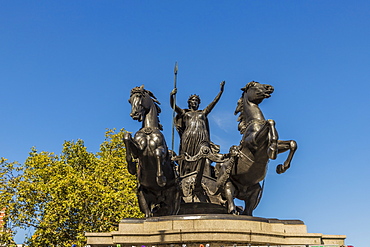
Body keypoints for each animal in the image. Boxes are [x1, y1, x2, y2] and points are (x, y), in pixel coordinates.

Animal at [123, 86, 180, 217]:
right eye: (129, 100)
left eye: (139, 96)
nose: (134, 114)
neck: (148, 130)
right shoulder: (138, 151)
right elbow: (127, 137)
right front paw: (131, 167)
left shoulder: (162, 151)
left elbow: (158, 154)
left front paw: (160, 179)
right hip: (142, 197)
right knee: (148, 213)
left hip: (174, 199)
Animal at [217, 81, 294, 216]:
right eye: (253, 85)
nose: (270, 87)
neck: (255, 122)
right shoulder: (254, 143)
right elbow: (270, 122)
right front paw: (272, 150)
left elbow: (292, 143)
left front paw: (282, 167)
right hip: (227, 183)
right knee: (229, 193)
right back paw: (232, 210)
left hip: (255, 190)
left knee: (248, 208)